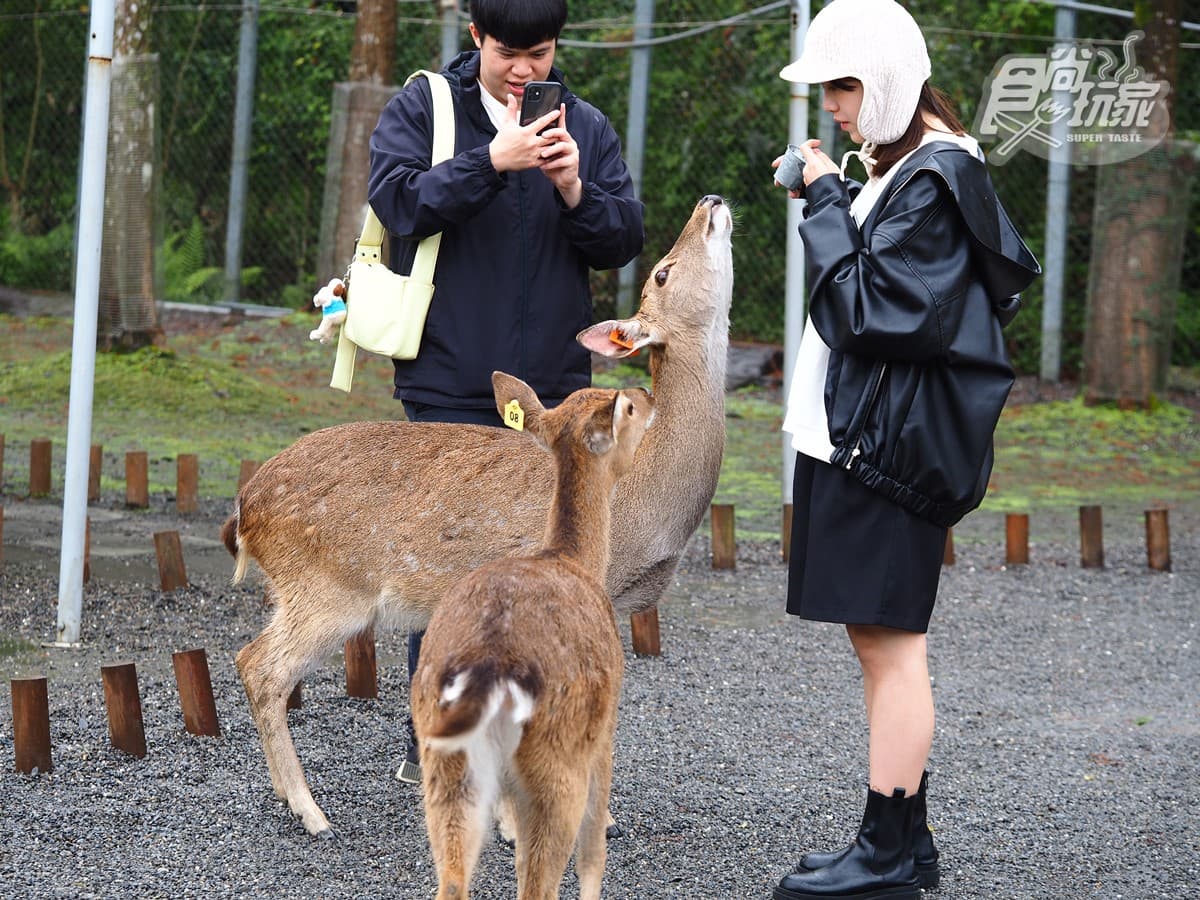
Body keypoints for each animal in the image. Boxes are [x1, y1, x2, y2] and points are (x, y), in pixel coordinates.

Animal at [226, 194, 733, 838]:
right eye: (662, 272)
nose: (710, 201)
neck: (645, 501)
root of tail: (246, 511)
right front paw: (523, 824)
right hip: (328, 586)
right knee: (260, 666)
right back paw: (311, 811)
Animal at [414, 371, 654, 900]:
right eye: (626, 410)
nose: (647, 392)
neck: (573, 558)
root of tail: (489, 670)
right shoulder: (605, 727)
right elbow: (594, 853)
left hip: (446, 764)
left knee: (454, 878)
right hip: (556, 762)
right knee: (539, 882)